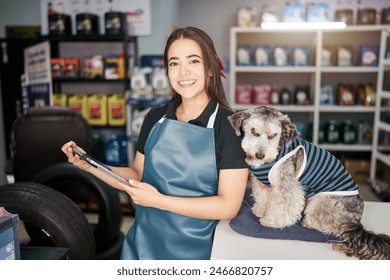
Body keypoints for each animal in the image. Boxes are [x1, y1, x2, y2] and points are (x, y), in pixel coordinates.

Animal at [229, 105, 390, 260]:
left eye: (273, 135)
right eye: (253, 131)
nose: (259, 155)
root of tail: (356, 222)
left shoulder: (287, 185)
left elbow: (283, 205)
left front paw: (272, 221)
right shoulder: (263, 184)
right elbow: (263, 199)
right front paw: (260, 210)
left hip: (322, 200)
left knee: (332, 226)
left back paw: (309, 222)